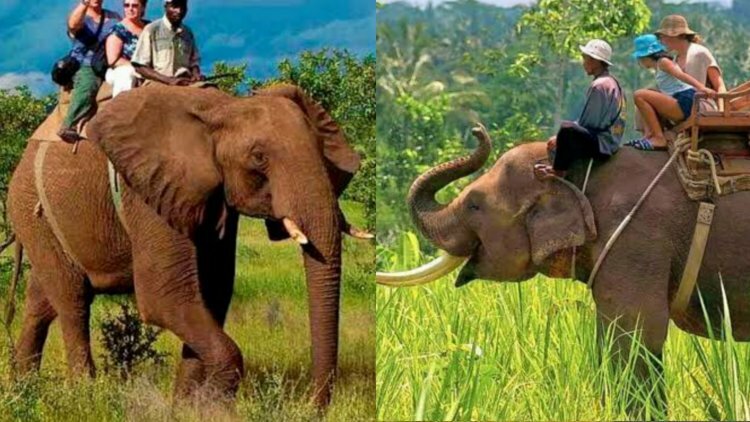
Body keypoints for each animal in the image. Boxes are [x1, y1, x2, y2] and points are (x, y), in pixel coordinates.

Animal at [6, 83, 368, 407]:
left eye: (321, 152)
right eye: (259, 157)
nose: (311, 407)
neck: (223, 107)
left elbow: (213, 292)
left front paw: (184, 407)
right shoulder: (147, 189)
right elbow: (166, 297)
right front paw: (214, 408)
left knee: (42, 301)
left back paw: (24, 389)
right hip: (31, 210)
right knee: (73, 301)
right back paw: (84, 395)